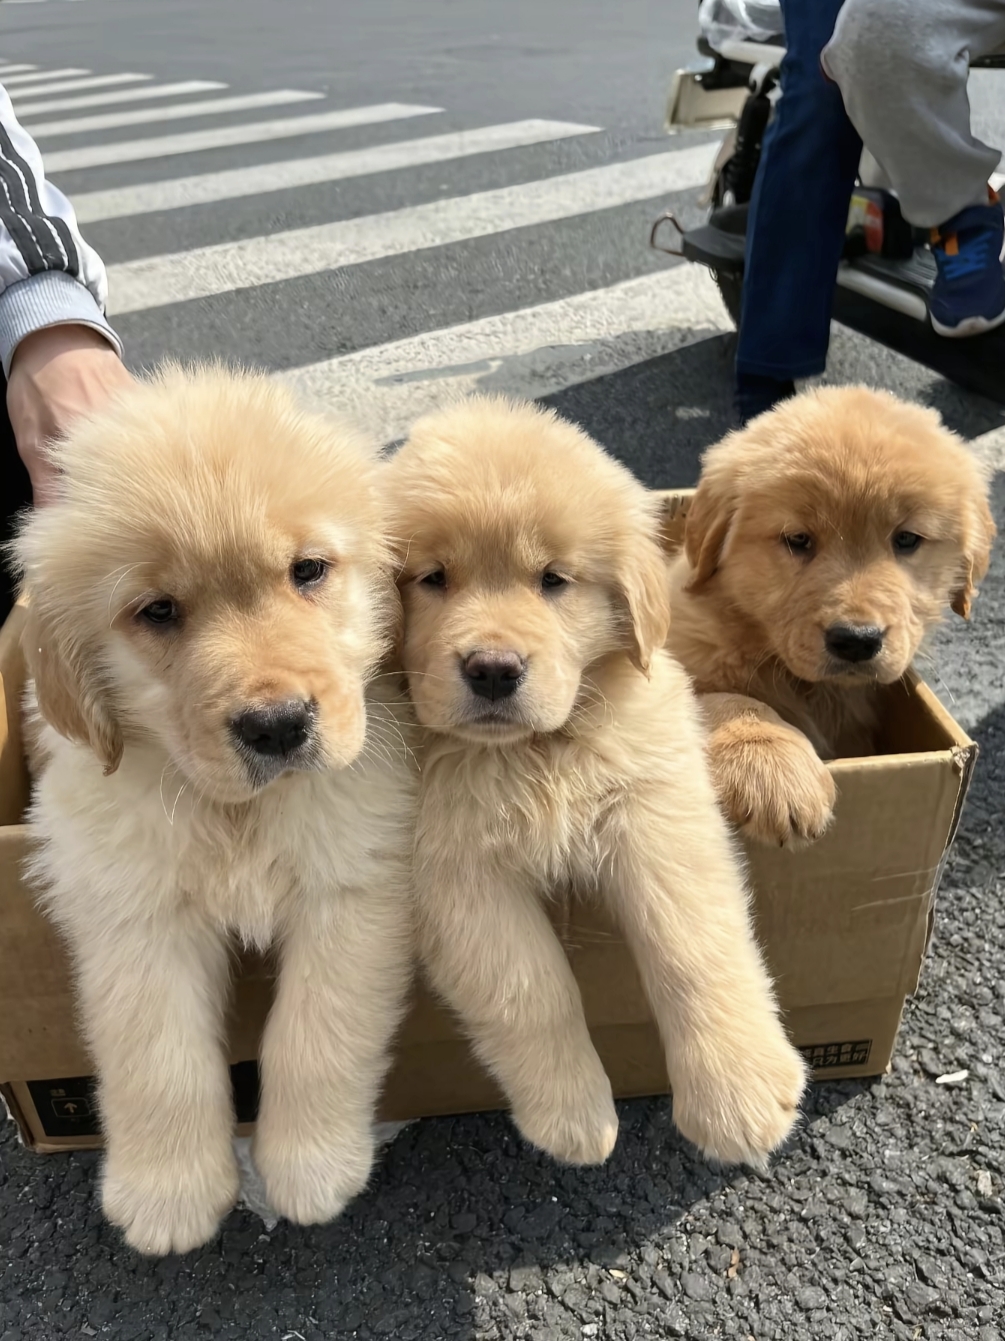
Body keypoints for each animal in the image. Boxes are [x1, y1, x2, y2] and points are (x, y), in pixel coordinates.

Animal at [13, 365, 416, 1255]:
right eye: (158, 610)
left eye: (309, 570)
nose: (278, 725)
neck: (235, 811)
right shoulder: (130, 905)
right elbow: (153, 1053)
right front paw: (167, 1193)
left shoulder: (354, 878)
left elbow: (316, 1029)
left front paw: (310, 1166)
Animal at [387, 396, 806, 1170]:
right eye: (432, 578)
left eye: (553, 579)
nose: (493, 670)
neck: (536, 752)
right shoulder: (453, 869)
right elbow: (530, 988)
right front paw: (573, 1115)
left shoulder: (656, 806)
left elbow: (691, 944)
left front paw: (738, 1095)